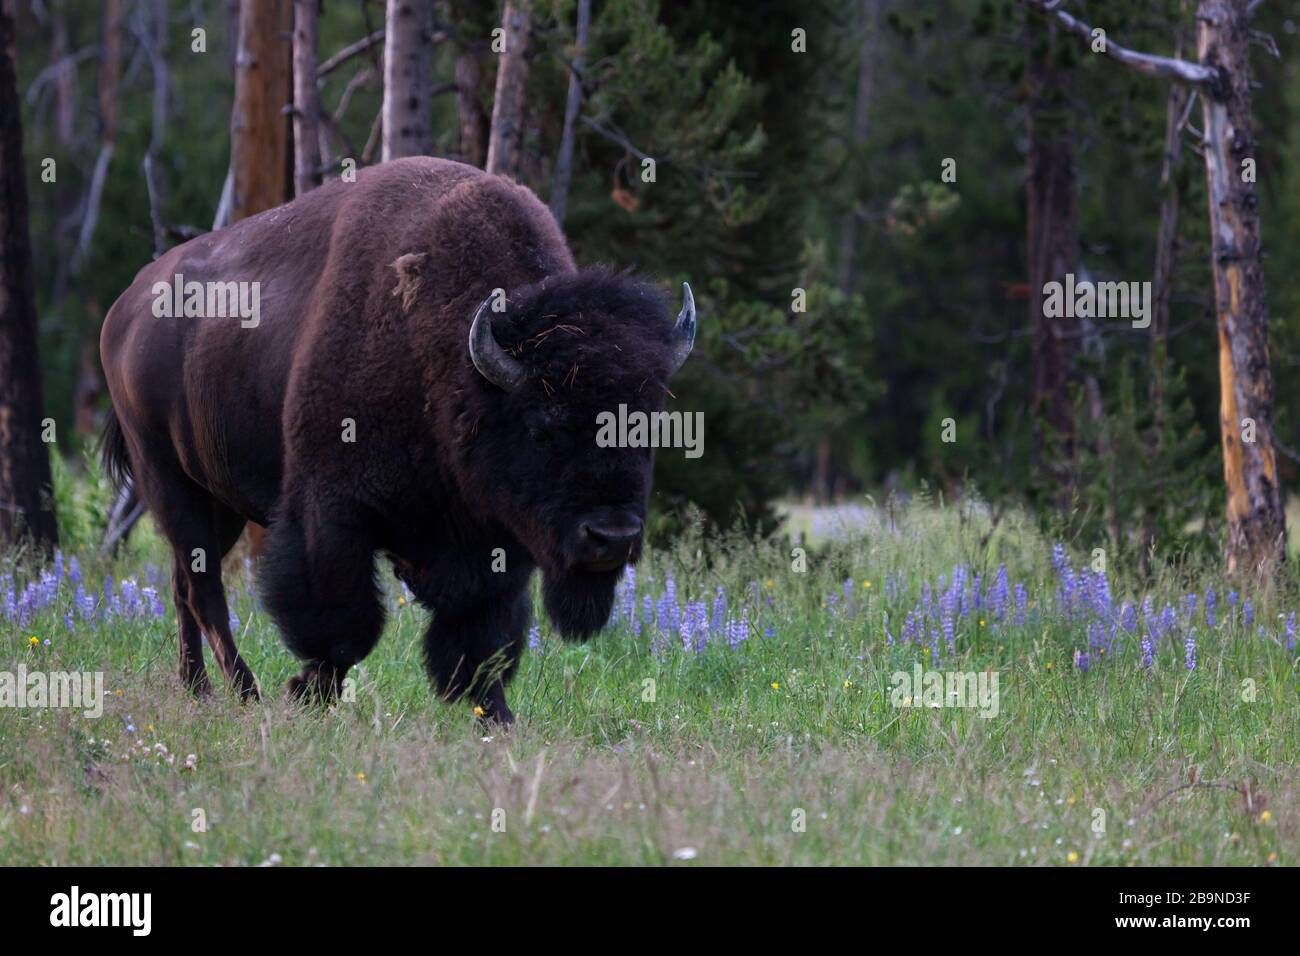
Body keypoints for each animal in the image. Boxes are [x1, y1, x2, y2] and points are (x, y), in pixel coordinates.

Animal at [98, 158, 702, 723]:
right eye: (541, 428)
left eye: (646, 424)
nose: (613, 537)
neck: (454, 367)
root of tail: (123, 309)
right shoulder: (330, 513)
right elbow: (346, 625)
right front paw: (307, 692)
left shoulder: (494, 542)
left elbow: (485, 640)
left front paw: (497, 717)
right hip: (169, 482)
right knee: (203, 592)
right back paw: (245, 692)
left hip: (217, 501)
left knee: (183, 586)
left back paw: (196, 689)